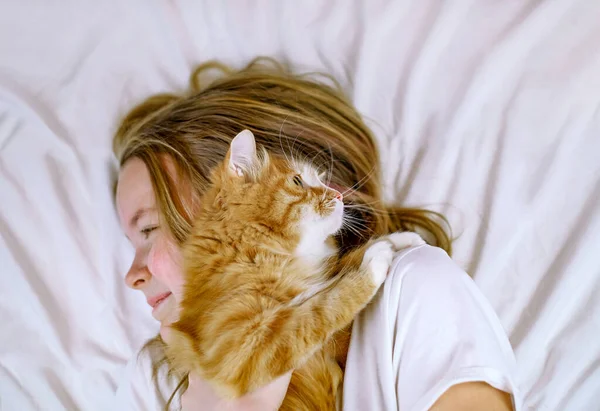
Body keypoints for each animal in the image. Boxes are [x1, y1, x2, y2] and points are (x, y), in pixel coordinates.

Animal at [166, 130, 424, 410]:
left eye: (322, 180)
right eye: (298, 181)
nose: (339, 195)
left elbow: (344, 267)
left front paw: (399, 240)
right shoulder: (243, 347)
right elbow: (324, 307)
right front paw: (376, 260)